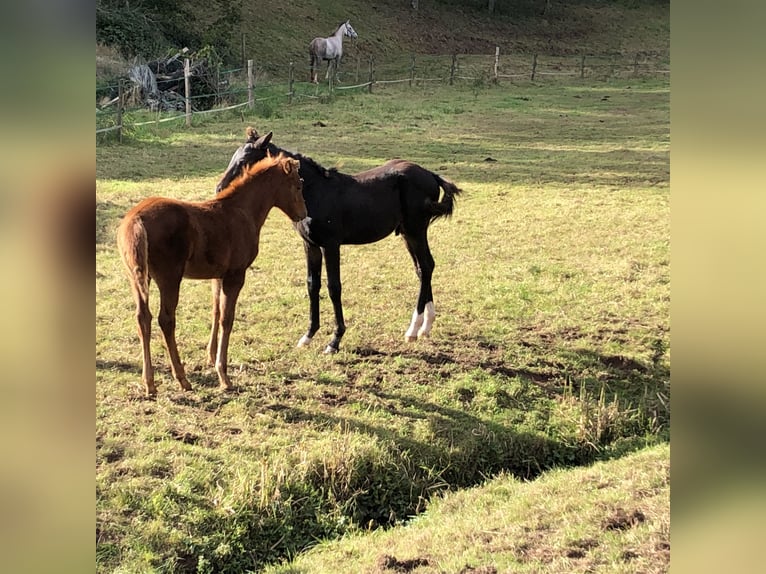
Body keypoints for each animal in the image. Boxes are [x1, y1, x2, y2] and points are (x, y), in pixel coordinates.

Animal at [117, 151, 306, 398]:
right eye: (298, 185)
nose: (303, 214)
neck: (241, 211)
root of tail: (136, 219)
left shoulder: (218, 275)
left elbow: (215, 311)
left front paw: (210, 355)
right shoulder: (235, 275)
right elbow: (227, 319)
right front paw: (223, 376)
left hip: (137, 278)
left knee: (143, 318)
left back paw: (149, 383)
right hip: (169, 278)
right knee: (166, 320)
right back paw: (182, 379)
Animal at [218, 127, 468, 356]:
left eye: (244, 161)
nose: (219, 188)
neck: (315, 192)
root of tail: (431, 175)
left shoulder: (330, 245)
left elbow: (333, 287)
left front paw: (334, 341)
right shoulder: (310, 245)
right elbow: (312, 285)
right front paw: (308, 336)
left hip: (416, 230)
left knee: (425, 267)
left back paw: (413, 329)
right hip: (408, 233)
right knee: (423, 268)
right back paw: (426, 327)